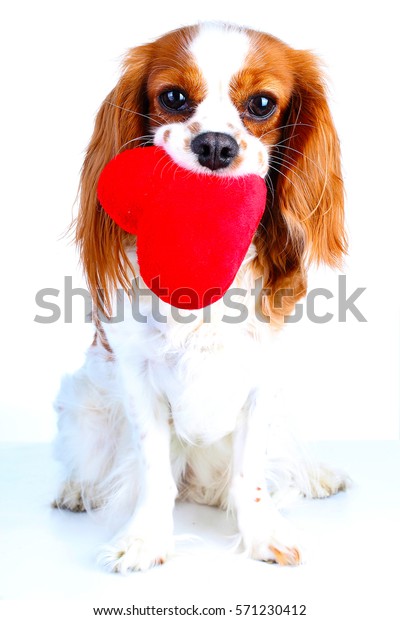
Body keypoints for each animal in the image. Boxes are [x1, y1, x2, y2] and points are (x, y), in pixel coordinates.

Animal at [52, 20, 346, 572]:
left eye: (261, 104)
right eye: (173, 97)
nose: (214, 145)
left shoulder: (262, 379)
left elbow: (251, 472)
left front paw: (262, 536)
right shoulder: (136, 375)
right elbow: (151, 470)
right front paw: (144, 541)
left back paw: (319, 474)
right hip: (86, 399)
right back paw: (78, 488)